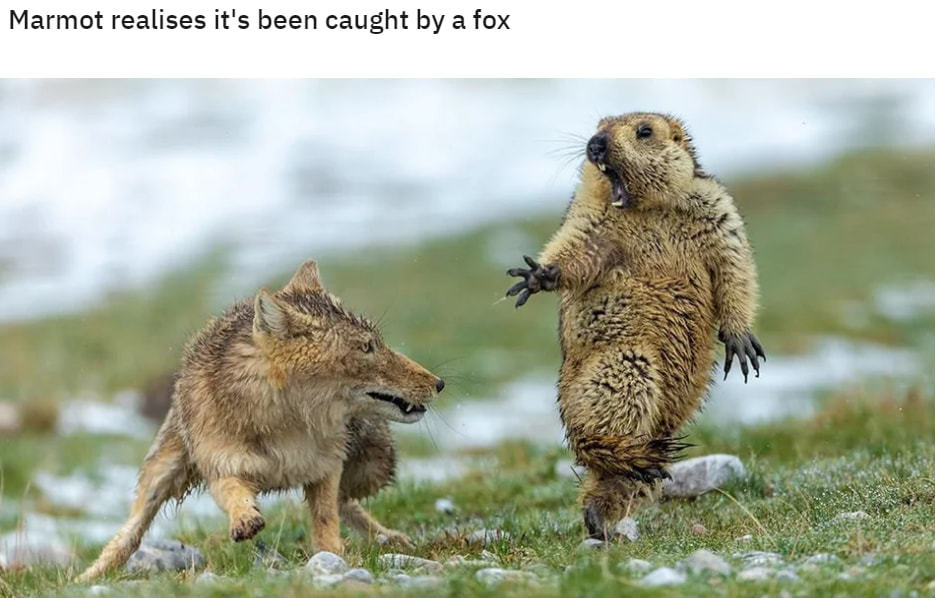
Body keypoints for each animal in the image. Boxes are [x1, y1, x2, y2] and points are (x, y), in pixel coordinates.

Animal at [78, 260, 445, 582]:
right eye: (367, 348)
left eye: (377, 344)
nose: (439, 383)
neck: (286, 426)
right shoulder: (222, 466)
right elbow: (233, 492)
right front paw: (245, 519)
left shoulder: (326, 467)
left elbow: (326, 519)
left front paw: (335, 556)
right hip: (161, 473)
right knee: (129, 534)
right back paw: (89, 575)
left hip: (373, 466)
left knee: (347, 501)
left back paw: (388, 537)